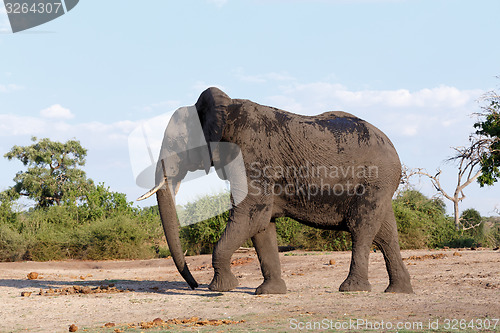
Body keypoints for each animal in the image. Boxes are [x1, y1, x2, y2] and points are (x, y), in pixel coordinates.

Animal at [138, 87, 414, 294]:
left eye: (175, 143)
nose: (194, 285)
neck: (225, 110)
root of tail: (393, 146)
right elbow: (261, 224)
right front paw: (269, 292)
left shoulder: (252, 154)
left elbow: (250, 213)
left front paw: (220, 288)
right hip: (380, 185)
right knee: (386, 233)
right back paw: (398, 291)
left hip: (375, 180)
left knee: (362, 228)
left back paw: (352, 289)